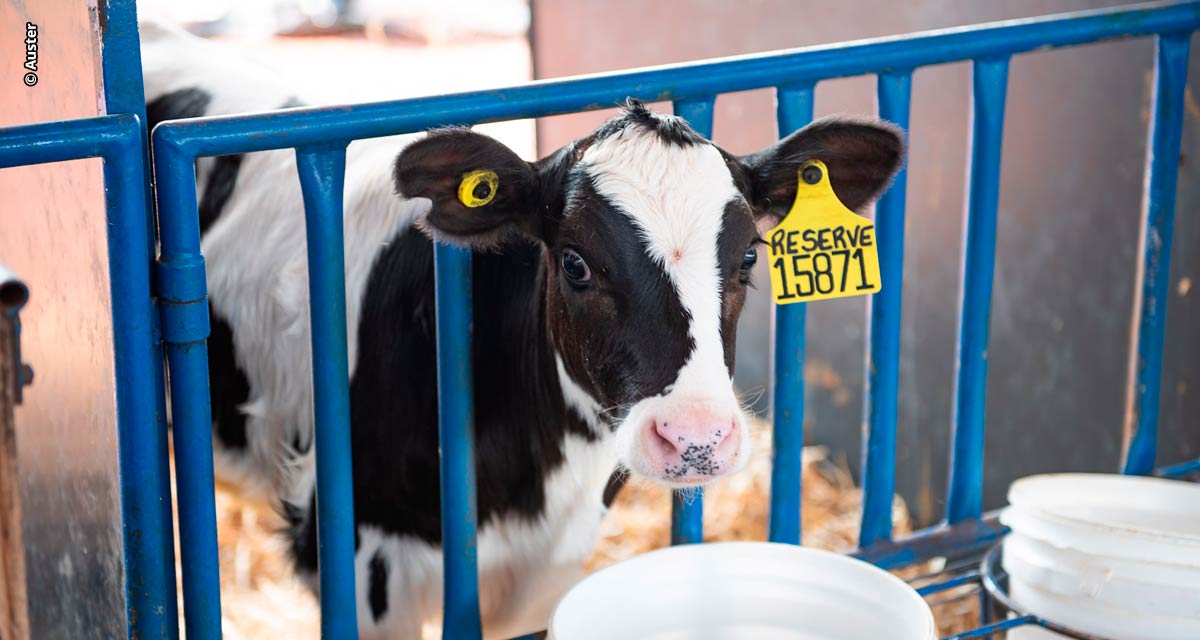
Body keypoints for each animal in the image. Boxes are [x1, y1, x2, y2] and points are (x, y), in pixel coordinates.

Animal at [140, 22, 902, 638]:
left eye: (748, 257)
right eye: (575, 263)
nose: (696, 439)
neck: (530, 481)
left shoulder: (548, 570)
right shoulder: (358, 562)